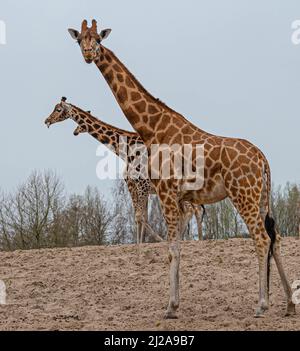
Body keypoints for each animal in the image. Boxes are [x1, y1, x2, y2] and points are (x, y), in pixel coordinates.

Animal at [44, 97, 204, 243]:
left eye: (58, 109)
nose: (47, 120)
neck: (126, 150)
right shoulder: (138, 186)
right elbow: (142, 216)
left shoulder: (139, 185)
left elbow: (140, 216)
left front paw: (148, 242)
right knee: (192, 210)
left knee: (191, 210)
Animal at [68, 20, 296, 320]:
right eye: (80, 39)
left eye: (97, 39)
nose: (87, 54)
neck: (152, 129)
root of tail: (262, 158)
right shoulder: (180, 198)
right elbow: (177, 246)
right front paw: (175, 304)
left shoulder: (166, 194)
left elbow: (172, 248)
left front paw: (170, 307)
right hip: (262, 197)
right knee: (275, 237)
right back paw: (290, 304)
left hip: (243, 195)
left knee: (260, 238)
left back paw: (262, 304)